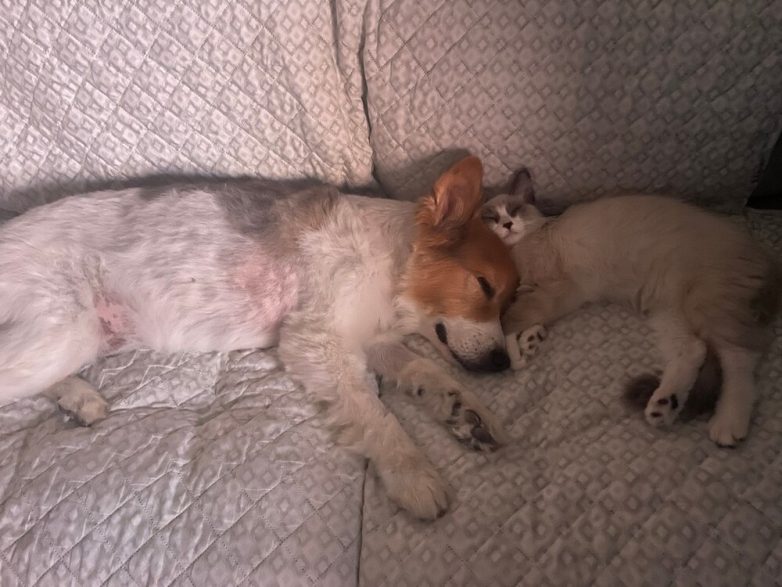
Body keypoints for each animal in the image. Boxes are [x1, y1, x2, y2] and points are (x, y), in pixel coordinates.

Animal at [0, 156, 519, 518]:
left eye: (510, 301)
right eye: (483, 286)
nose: (503, 363)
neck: (390, 258)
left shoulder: (371, 339)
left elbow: (426, 371)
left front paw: (471, 415)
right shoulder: (316, 340)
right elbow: (377, 415)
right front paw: (412, 474)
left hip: (73, 336)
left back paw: (79, 397)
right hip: (66, 327)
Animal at [481, 168, 781, 447]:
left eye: (513, 210)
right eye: (490, 218)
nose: (507, 224)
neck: (517, 251)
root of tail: (765, 256)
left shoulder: (556, 290)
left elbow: (508, 322)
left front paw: (514, 353)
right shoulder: (541, 293)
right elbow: (526, 319)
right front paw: (531, 341)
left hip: (706, 305)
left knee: (741, 357)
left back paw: (727, 423)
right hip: (667, 310)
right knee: (695, 350)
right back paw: (663, 406)